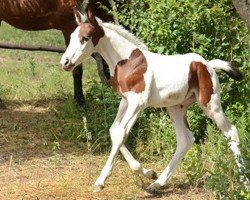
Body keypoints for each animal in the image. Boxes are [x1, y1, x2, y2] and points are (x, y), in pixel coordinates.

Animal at [60, 7, 248, 193]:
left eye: (85, 38)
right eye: (71, 36)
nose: (65, 62)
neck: (128, 61)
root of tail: (207, 65)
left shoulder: (138, 102)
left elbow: (120, 133)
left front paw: (100, 181)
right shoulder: (125, 101)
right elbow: (114, 131)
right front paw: (149, 172)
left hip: (210, 104)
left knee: (231, 132)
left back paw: (244, 183)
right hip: (175, 108)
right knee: (185, 139)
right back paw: (157, 184)